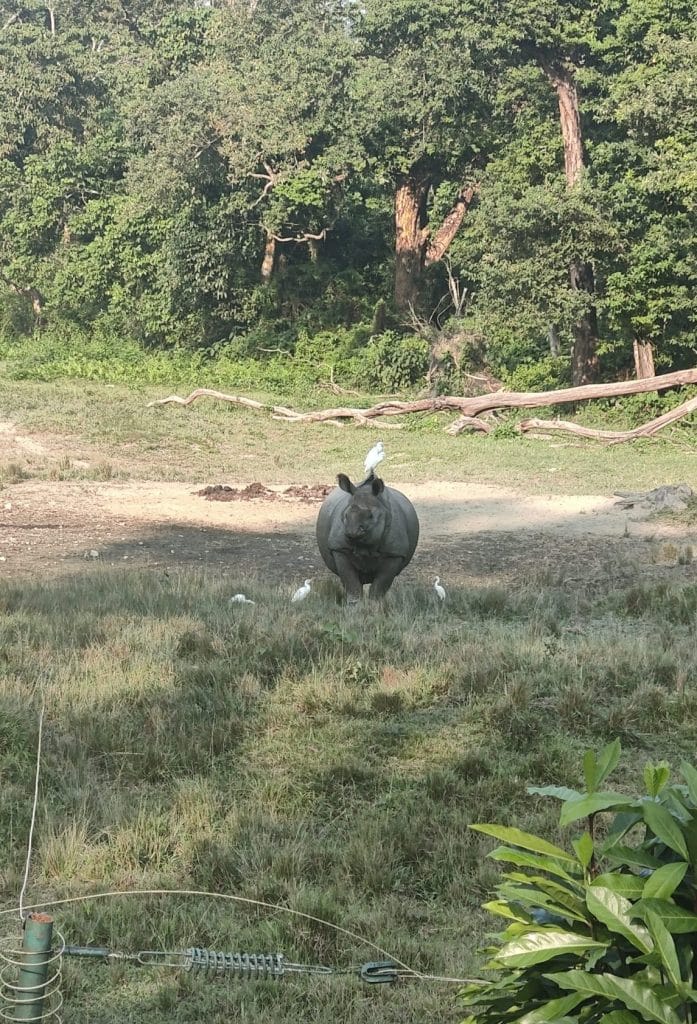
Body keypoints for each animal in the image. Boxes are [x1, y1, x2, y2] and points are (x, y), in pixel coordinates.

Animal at [316, 473, 419, 601]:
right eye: (345, 515)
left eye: (371, 516)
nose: (352, 532)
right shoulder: (339, 548)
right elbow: (352, 585)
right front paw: (354, 605)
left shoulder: (394, 553)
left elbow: (379, 587)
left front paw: (375, 605)